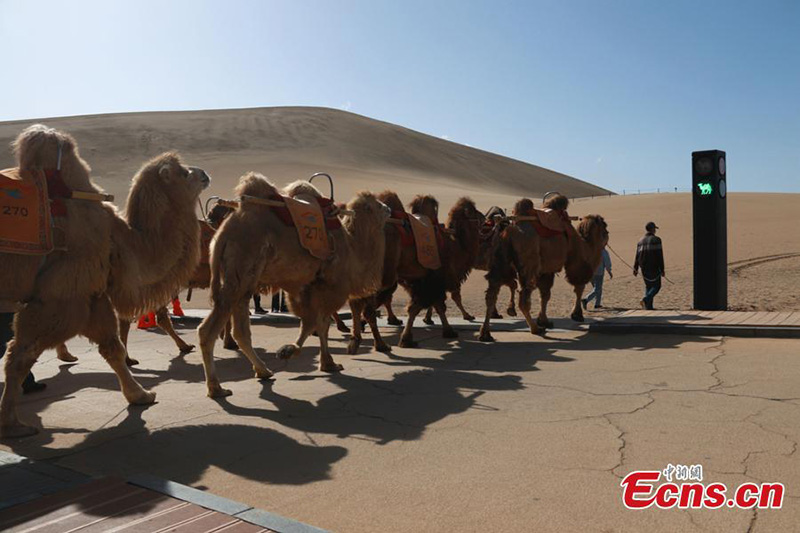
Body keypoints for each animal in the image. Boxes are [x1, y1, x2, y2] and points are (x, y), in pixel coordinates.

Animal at [0, 124, 209, 436]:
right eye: (184, 173)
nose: (205, 173)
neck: (119, 239)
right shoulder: (59, 297)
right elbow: (19, 356)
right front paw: (12, 423)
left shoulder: (92, 293)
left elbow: (112, 347)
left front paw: (140, 395)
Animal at [198, 172, 390, 396]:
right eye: (375, 205)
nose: (389, 208)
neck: (352, 247)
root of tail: (222, 234)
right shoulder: (330, 285)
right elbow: (318, 322)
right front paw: (292, 352)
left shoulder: (305, 286)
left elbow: (315, 323)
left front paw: (324, 362)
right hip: (241, 269)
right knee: (209, 329)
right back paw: (216, 388)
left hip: (240, 277)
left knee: (240, 329)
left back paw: (263, 371)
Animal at [536, 194, 608, 326]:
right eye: (604, 225)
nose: (607, 233)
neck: (585, 245)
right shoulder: (577, 266)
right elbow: (579, 289)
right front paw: (577, 315)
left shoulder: (546, 270)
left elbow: (544, 293)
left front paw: (542, 320)